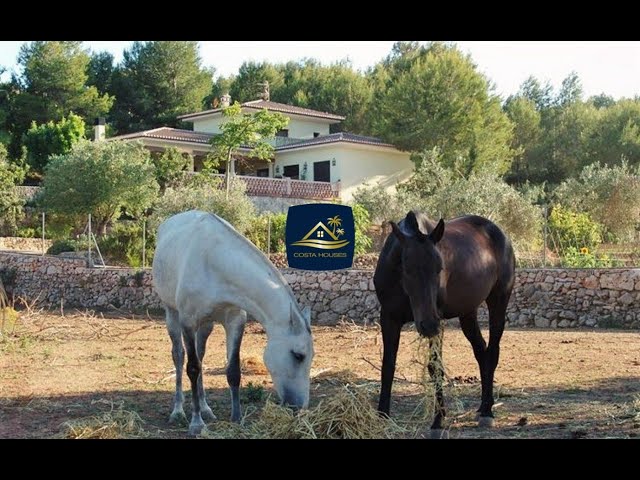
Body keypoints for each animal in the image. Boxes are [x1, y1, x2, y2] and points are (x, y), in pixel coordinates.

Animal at [152, 210, 314, 436]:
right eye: (298, 355)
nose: (300, 407)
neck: (215, 262)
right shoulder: (188, 322)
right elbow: (192, 368)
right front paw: (196, 423)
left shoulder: (235, 321)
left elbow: (233, 370)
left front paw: (237, 418)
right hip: (172, 314)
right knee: (179, 356)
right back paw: (178, 411)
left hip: (206, 325)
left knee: (201, 356)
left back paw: (206, 408)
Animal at [373, 211, 515, 438]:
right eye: (408, 269)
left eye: (439, 268)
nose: (428, 325)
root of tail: (499, 233)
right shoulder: (389, 318)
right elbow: (388, 365)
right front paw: (382, 416)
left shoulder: (437, 319)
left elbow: (435, 367)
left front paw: (438, 421)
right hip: (468, 313)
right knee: (481, 351)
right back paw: (483, 406)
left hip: (498, 301)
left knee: (492, 352)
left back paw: (487, 412)